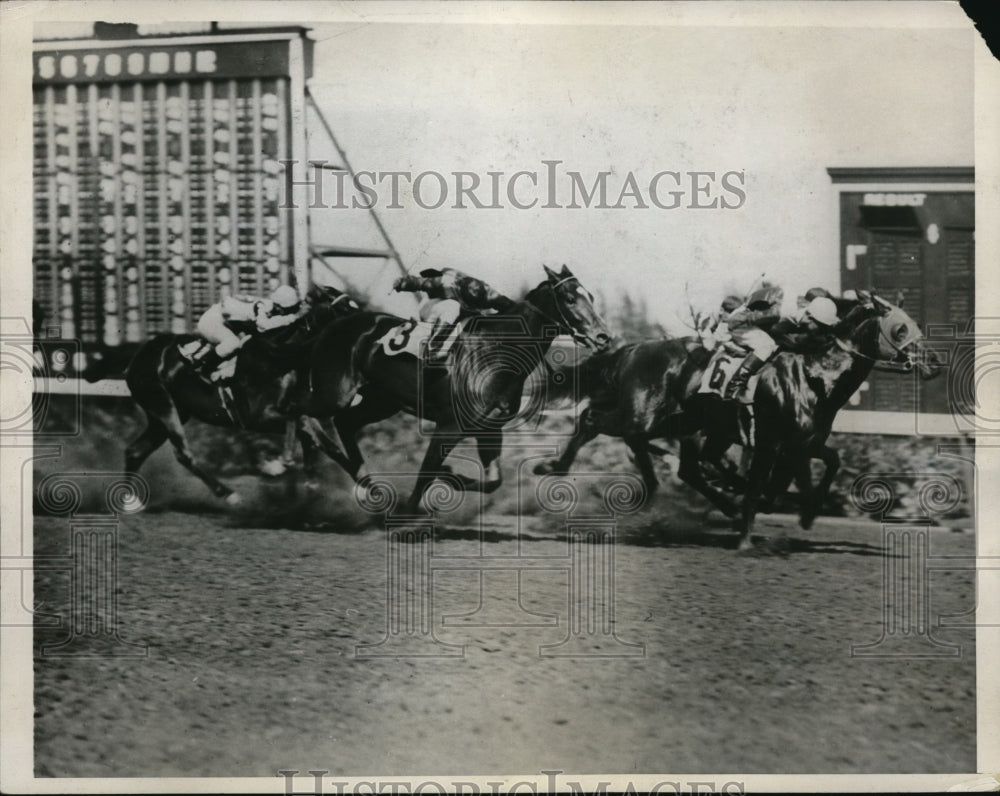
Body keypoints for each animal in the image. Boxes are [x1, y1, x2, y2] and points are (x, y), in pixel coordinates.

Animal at [97, 284, 362, 504]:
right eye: (341, 305)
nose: (365, 320)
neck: (278, 356)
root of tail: (137, 357)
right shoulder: (257, 417)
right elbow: (297, 426)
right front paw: (276, 466)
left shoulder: (298, 412)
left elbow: (328, 445)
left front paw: (357, 486)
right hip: (163, 406)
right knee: (183, 454)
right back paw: (229, 494)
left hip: (167, 414)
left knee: (135, 450)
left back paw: (130, 500)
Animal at [296, 264, 608, 506]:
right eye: (569, 297)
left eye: (592, 296)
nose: (603, 336)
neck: (496, 351)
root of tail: (339, 321)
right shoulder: (448, 426)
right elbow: (425, 475)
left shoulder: (489, 428)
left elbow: (493, 481)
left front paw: (452, 476)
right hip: (334, 391)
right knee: (298, 411)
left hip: (381, 401)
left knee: (344, 422)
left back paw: (364, 482)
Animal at [536, 292, 940, 548]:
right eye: (901, 328)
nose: (934, 362)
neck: (815, 375)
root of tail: (632, 348)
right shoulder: (772, 443)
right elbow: (767, 482)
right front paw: (748, 534)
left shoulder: (804, 443)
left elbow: (831, 462)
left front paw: (806, 513)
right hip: (644, 415)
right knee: (591, 420)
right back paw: (553, 467)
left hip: (678, 422)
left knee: (683, 465)